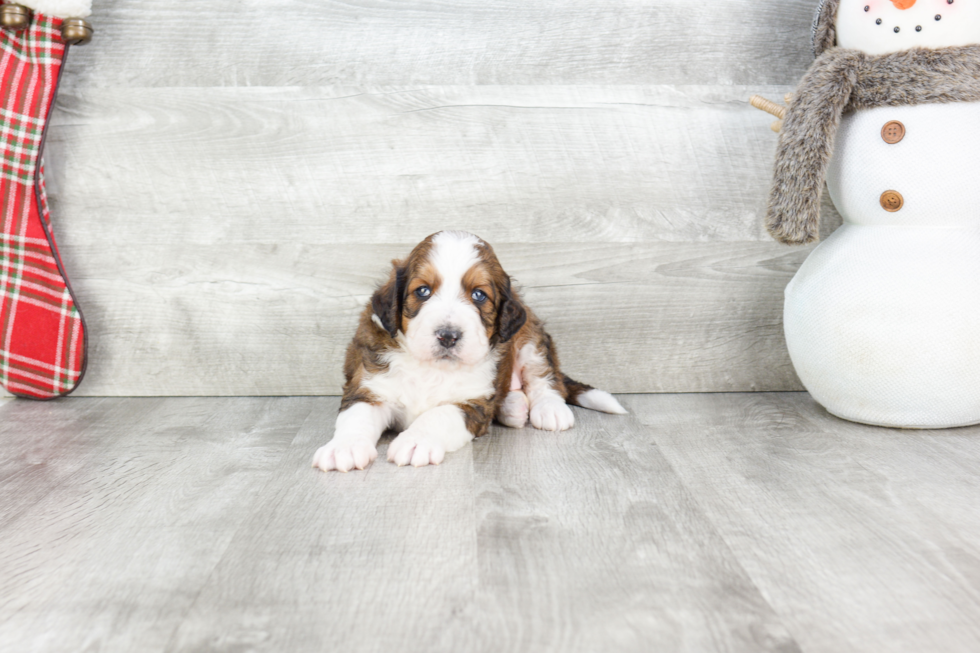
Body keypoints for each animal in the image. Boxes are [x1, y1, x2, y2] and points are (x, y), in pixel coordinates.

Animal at [310, 232, 624, 472]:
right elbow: (356, 417)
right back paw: (512, 407)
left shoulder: (471, 404)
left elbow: (439, 414)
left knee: (545, 377)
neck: (431, 368)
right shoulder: (369, 387)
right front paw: (344, 448)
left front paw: (416, 441)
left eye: (478, 295)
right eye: (422, 291)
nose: (448, 336)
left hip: (530, 336)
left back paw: (550, 409)